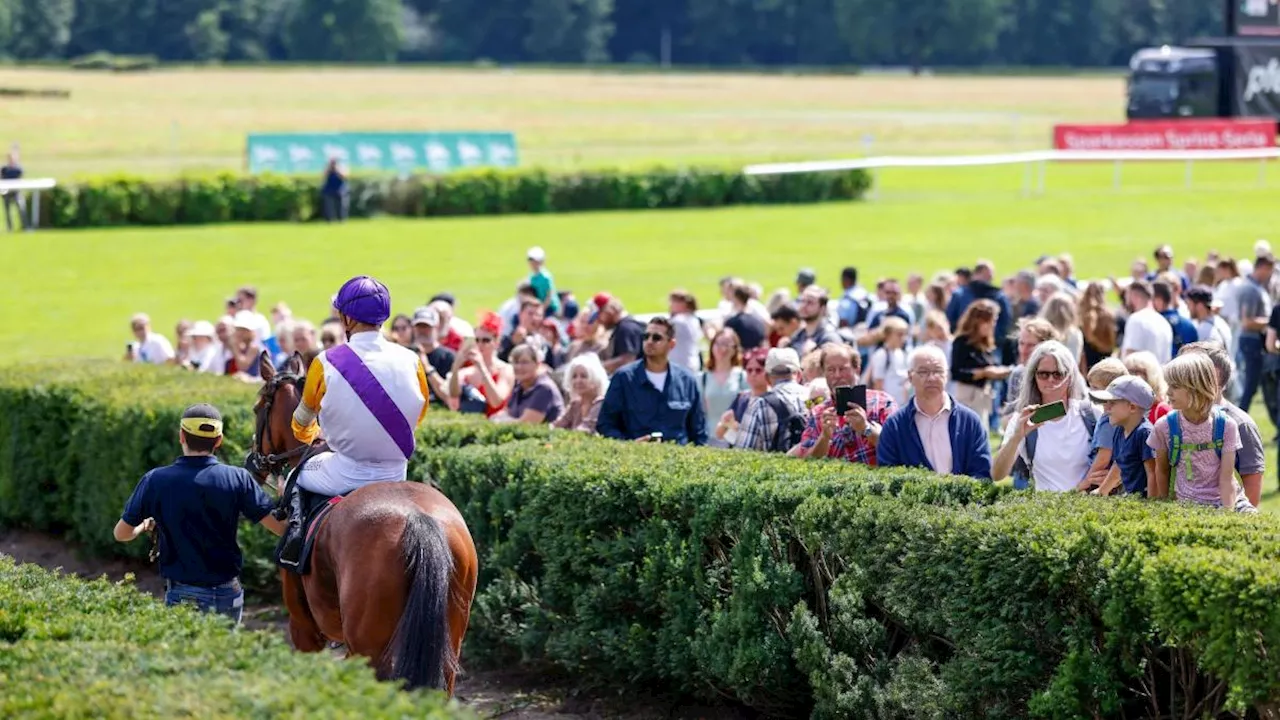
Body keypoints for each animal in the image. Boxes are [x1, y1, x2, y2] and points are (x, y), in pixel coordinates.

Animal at [247, 274, 478, 691]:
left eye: (258, 407)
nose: (252, 462)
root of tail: (419, 521)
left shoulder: (304, 628)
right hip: (450, 637)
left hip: (368, 644)